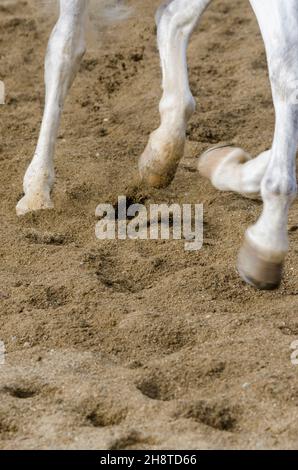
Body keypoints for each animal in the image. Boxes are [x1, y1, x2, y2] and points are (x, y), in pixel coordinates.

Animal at [14, 0, 298, 290]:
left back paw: (163, 157)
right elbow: (287, 74)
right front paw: (267, 242)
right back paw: (37, 190)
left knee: (170, 18)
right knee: (65, 48)